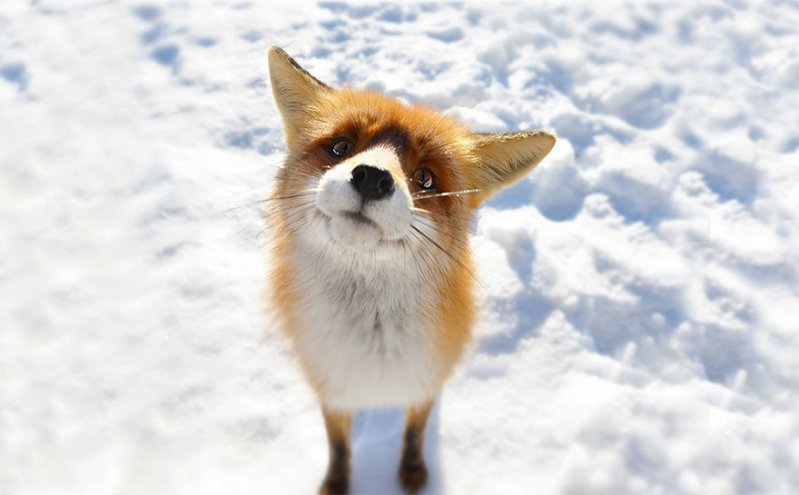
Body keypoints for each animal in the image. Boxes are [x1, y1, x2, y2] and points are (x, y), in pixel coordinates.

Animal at [268, 44, 556, 494]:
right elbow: (339, 446)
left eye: (425, 178)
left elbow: (414, 433)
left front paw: (413, 474)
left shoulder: (425, 381)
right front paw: (336, 484)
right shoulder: (330, 386)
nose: (371, 178)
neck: (372, 344)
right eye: (341, 147)